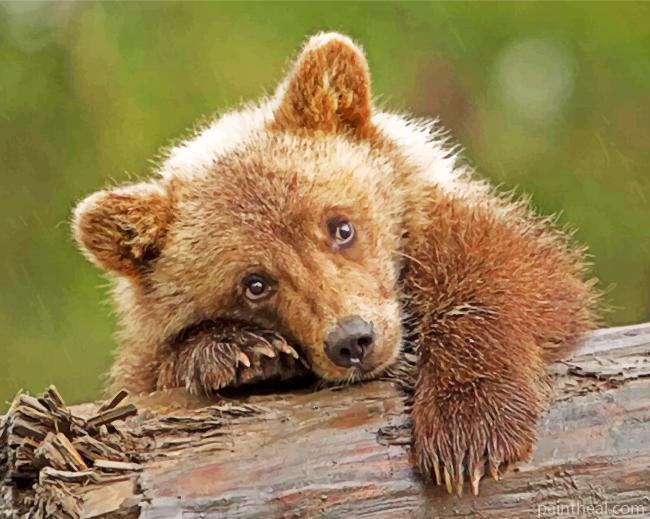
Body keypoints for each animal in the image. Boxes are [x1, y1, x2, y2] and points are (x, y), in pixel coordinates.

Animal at [72, 32, 599, 496]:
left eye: (340, 226)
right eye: (254, 283)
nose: (352, 340)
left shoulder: (452, 230)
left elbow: (511, 277)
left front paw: (468, 433)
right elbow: (148, 378)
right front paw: (239, 352)